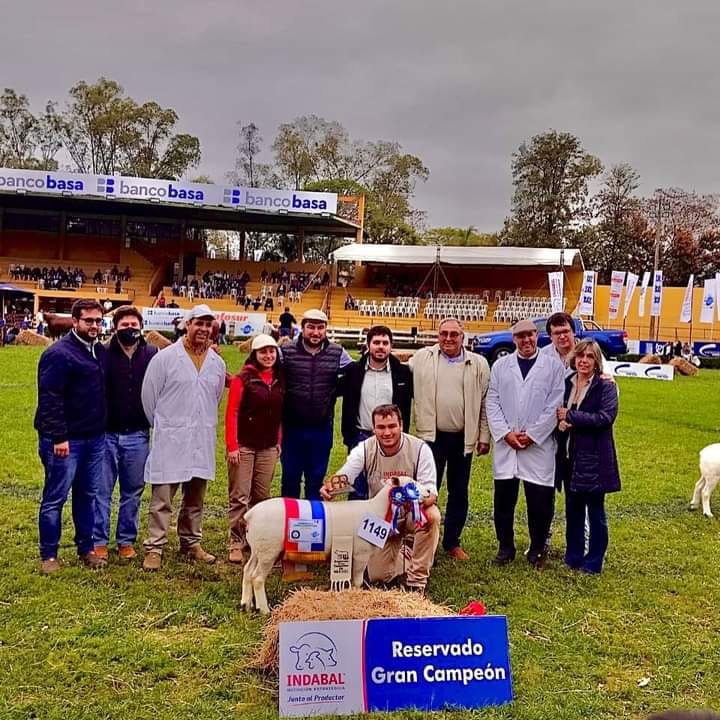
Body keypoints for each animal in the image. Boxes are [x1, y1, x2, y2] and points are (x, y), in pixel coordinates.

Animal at [242, 476, 424, 616]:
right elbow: (357, 581)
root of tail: (250, 515)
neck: (376, 510)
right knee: (257, 578)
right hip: (268, 550)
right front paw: (356, 598)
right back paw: (264, 610)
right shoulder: (361, 553)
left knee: (248, 571)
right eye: (411, 484)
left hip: (257, 549)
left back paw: (246, 604)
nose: (428, 492)